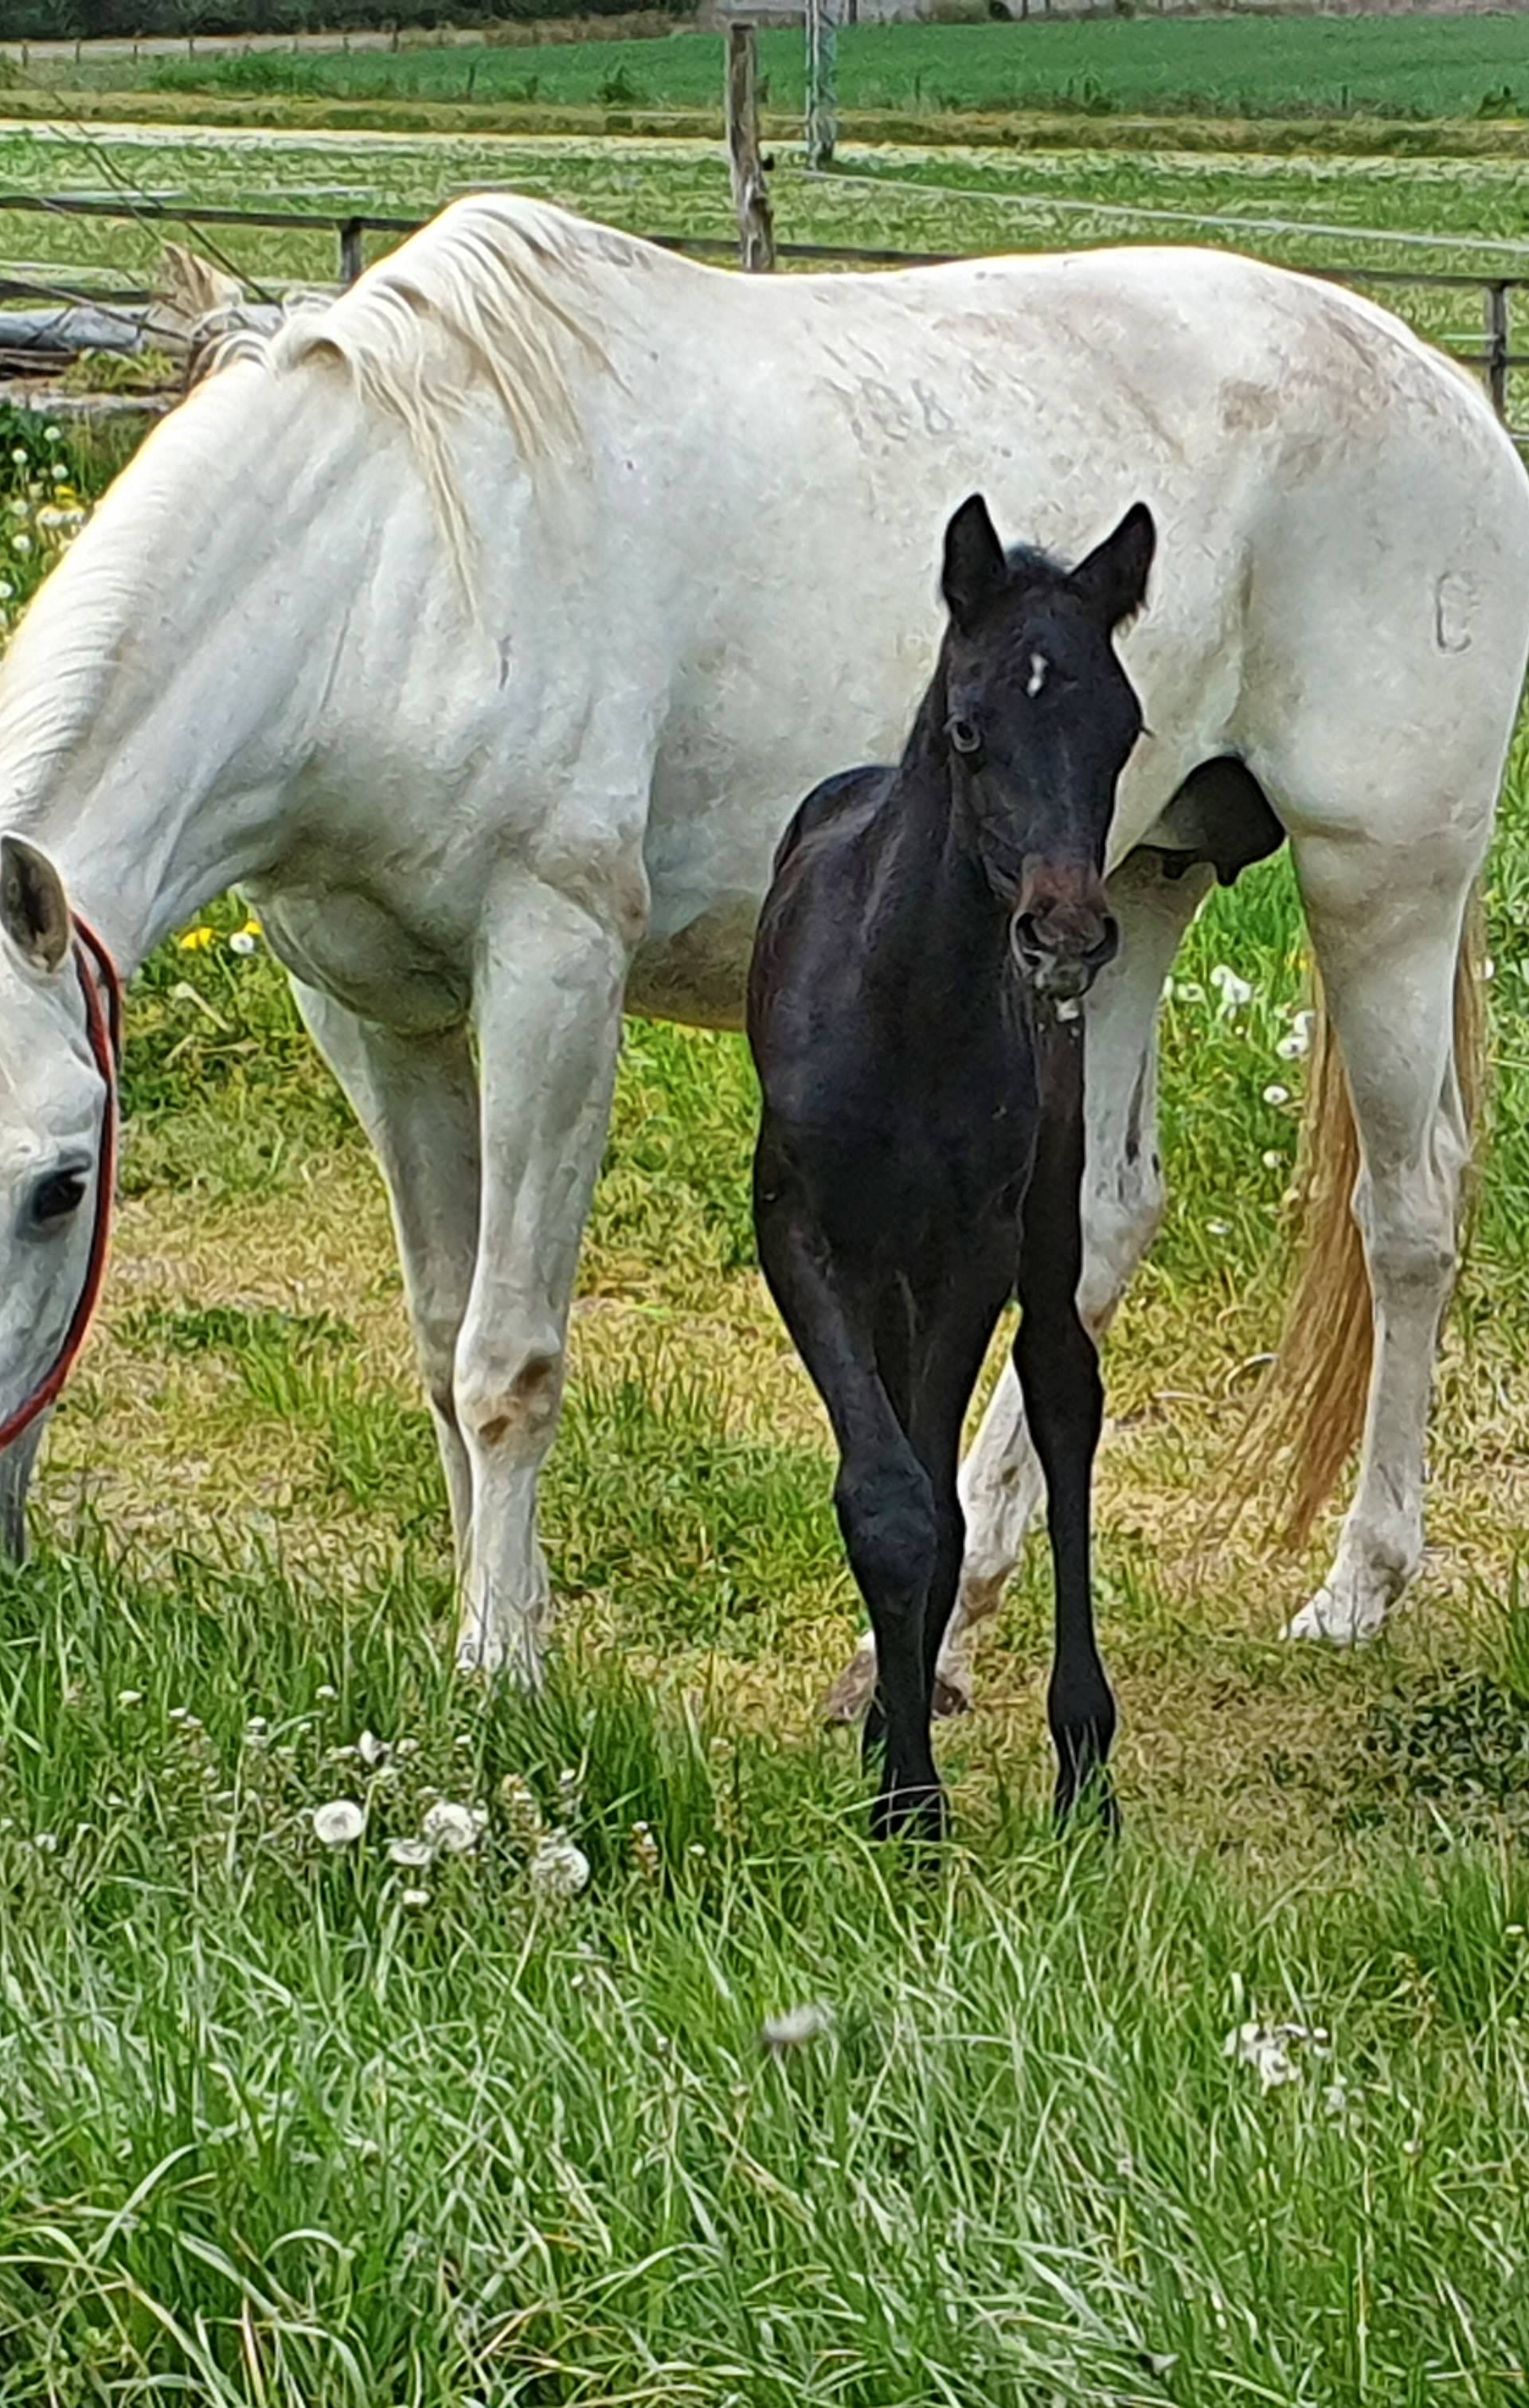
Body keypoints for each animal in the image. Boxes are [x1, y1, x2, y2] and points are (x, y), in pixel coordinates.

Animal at [0, 197, 1521, 1695]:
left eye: (63, 1188)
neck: (393, 562)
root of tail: (1449, 392)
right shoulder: (371, 1007)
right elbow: (440, 1334)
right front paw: (480, 1624)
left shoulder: (553, 972)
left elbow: (509, 1355)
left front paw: (505, 1666)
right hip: (1125, 897)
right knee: (1104, 1219)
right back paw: (945, 1623)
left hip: (1380, 884)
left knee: (1411, 1212)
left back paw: (1357, 1587)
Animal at [746, 493, 1156, 1839]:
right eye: (973, 731)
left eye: (1123, 730)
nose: (1066, 934)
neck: (906, 1008)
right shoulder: (800, 1232)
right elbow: (891, 1502)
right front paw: (903, 1787)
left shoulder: (977, 1241)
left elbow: (940, 1491)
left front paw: (908, 1788)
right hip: (884, 1261)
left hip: (1046, 1197)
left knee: (1064, 1387)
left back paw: (1084, 1761)